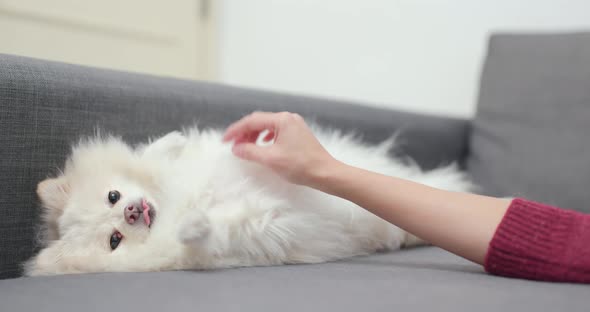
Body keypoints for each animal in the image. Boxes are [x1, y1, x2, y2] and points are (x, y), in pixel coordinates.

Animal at [25, 124, 474, 276]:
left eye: (113, 196)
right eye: (114, 240)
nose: (132, 210)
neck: (171, 202)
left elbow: (158, 153)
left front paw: (171, 142)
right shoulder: (244, 237)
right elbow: (213, 233)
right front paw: (193, 224)